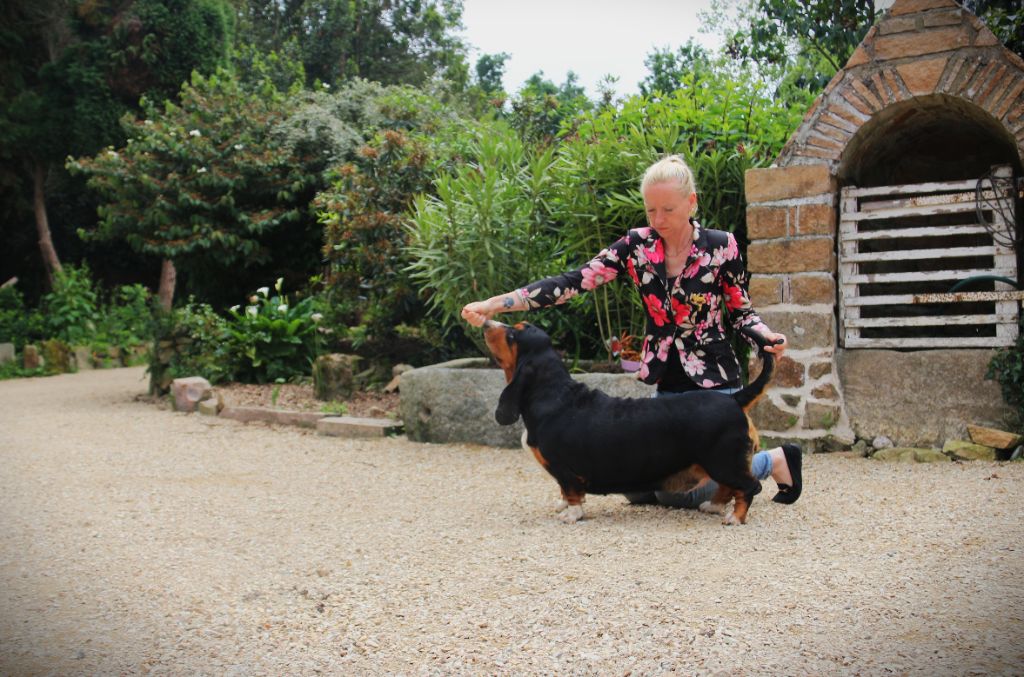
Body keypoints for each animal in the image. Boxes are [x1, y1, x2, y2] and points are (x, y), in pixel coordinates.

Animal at [483, 320, 778, 525]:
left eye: (512, 334)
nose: (486, 322)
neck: (551, 391)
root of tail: (734, 399)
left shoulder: (565, 470)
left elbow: (572, 493)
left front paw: (571, 514)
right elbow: (564, 493)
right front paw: (563, 506)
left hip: (722, 461)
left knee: (750, 486)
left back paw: (734, 518)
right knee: (729, 487)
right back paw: (714, 507)